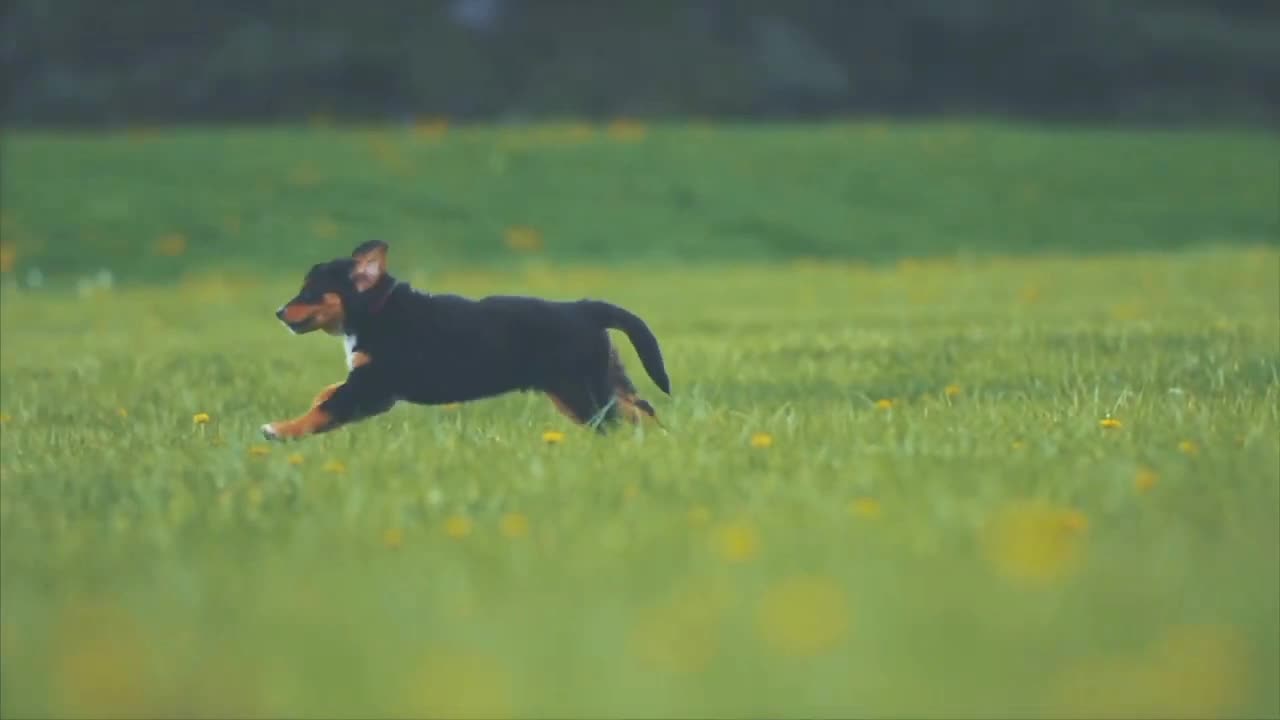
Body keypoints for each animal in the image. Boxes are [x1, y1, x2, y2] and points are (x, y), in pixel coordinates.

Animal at [264, 240, 675, 438]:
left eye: (310, 291)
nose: (279, 312)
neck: (378, 310)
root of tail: (584, 308)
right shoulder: (373, 387)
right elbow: (330, 396)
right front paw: (318, 396)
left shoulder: (373, 385)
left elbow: (325, 412)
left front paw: (279, 431)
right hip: (598, 380)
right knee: (639, 409)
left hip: (580, 390)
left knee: (620, 417)